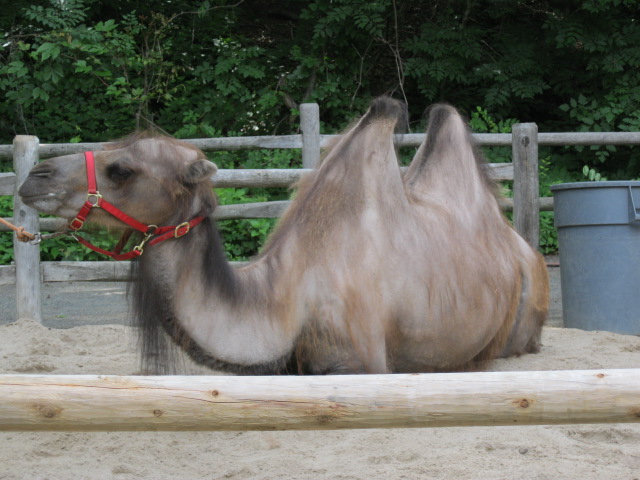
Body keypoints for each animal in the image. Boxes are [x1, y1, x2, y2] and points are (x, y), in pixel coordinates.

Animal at [18, 97, 549, 374]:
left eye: (122, 170)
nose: (33, 178)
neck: (287, 299)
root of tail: (522, 247)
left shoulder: (359, 364)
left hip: (524, 312)